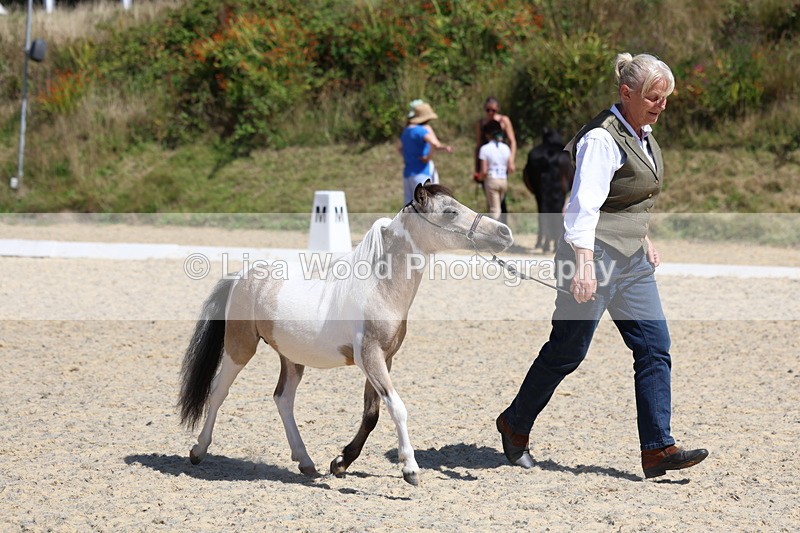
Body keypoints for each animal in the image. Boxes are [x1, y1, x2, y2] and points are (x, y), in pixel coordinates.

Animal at [178, 182, 513, 485]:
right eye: (449, 211)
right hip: (240, 346)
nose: (505, 233)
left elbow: (372, 414)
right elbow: (397, 408)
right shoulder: (370, 358)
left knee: (283, 399)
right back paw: (198, 450)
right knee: (219, 391)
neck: (379, 288)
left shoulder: (383, 360)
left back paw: (306, 462)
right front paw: (410, 469)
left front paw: (340, 463)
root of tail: (240, 277)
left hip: (291, 357)